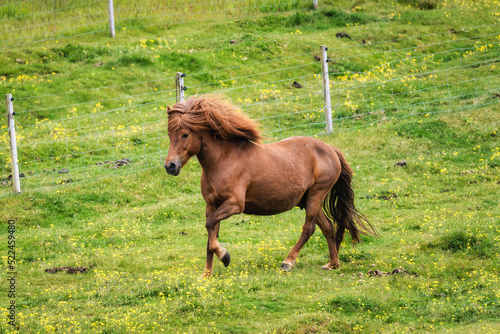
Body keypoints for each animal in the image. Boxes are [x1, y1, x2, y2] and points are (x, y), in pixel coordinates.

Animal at [166, 94, 376, 276]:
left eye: (185, 134)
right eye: (169, 135)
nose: (170, 166)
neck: (224, 160)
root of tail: (330, 148)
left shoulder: (235, 204)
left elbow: (210, 226)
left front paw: (225, 257)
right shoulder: (211, 205)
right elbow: (211, 233)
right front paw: (207, 274)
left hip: (316, 195)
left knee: (309, 229)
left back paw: (288, 262)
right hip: (309, 199)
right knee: (328, 228)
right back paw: (332, 264)